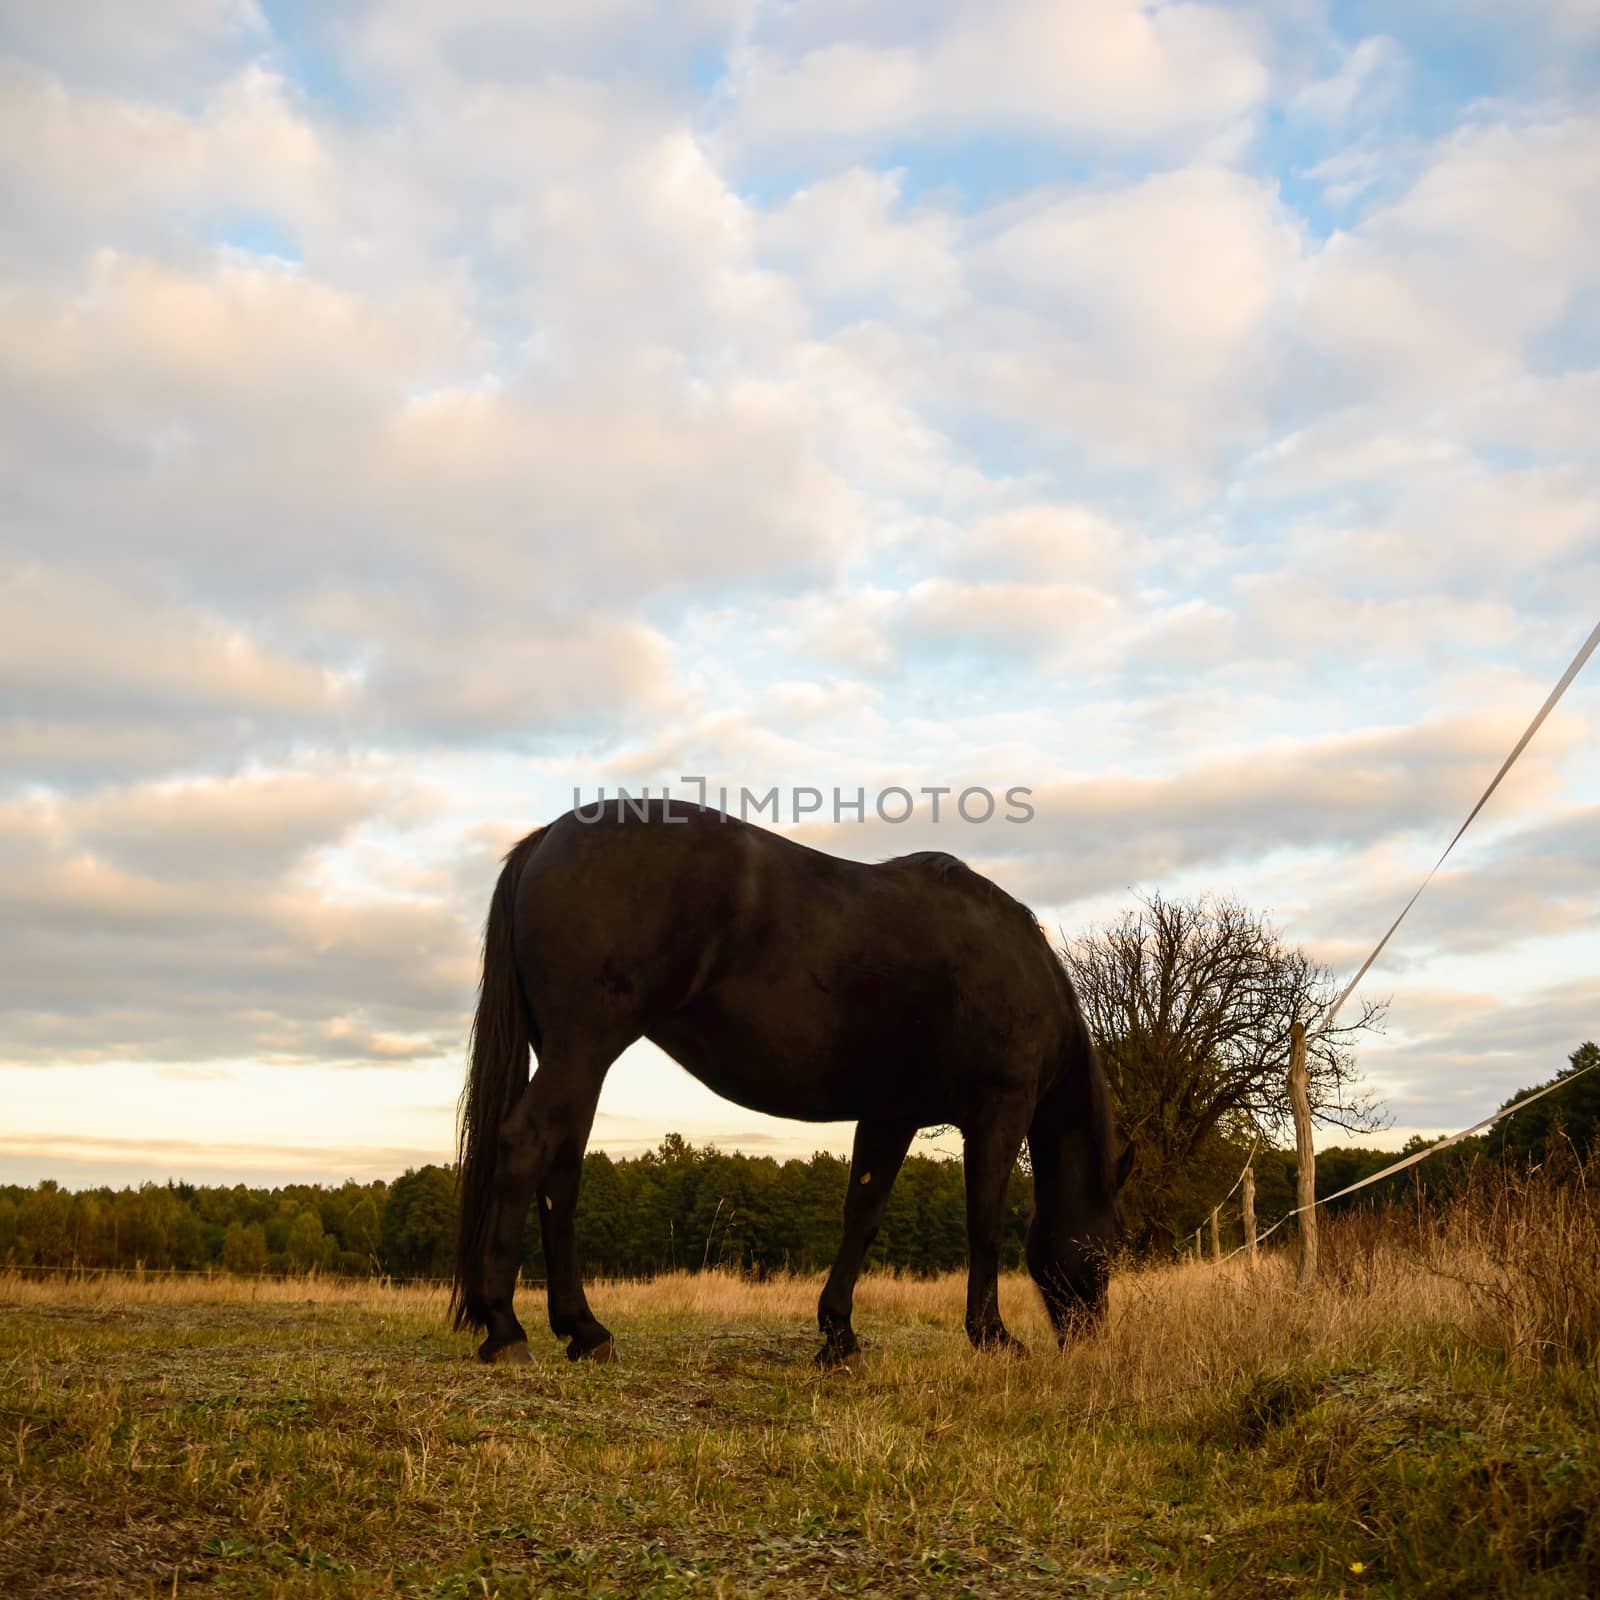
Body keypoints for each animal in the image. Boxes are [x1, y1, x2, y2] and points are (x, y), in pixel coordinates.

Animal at [448, 800, 1139, 1363]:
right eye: (1106, 1248)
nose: (1091, 1342)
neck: (1015, 962)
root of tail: (549, 837)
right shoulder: (999, 1110)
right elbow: (985, 1225)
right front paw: (992, 1336)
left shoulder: (892, 1114)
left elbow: (862, 1215)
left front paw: (839, 1337)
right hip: (583, 1049)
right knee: (527, 1147)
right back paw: (506, 1329)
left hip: (575, 1059)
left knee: (560, 1172)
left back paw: (584, 1331)